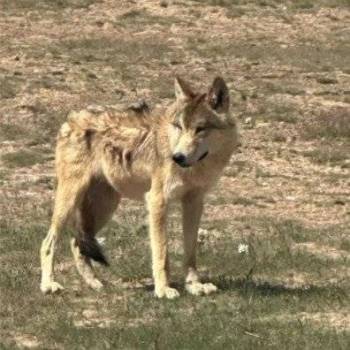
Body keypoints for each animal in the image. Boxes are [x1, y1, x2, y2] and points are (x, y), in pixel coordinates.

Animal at [39, 76, 239, 298]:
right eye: (179, 126)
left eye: (200, 129)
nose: (177, 157)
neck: (196, 168)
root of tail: (71, 117)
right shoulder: (157, 201)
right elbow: (162, 252)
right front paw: (163, 289)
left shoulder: (194, 202)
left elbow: (190, 252)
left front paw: (194, 285)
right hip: (70, 200)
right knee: (48, 242)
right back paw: (48, 284)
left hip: (105, 207)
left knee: (76, 243)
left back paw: (94, 283)